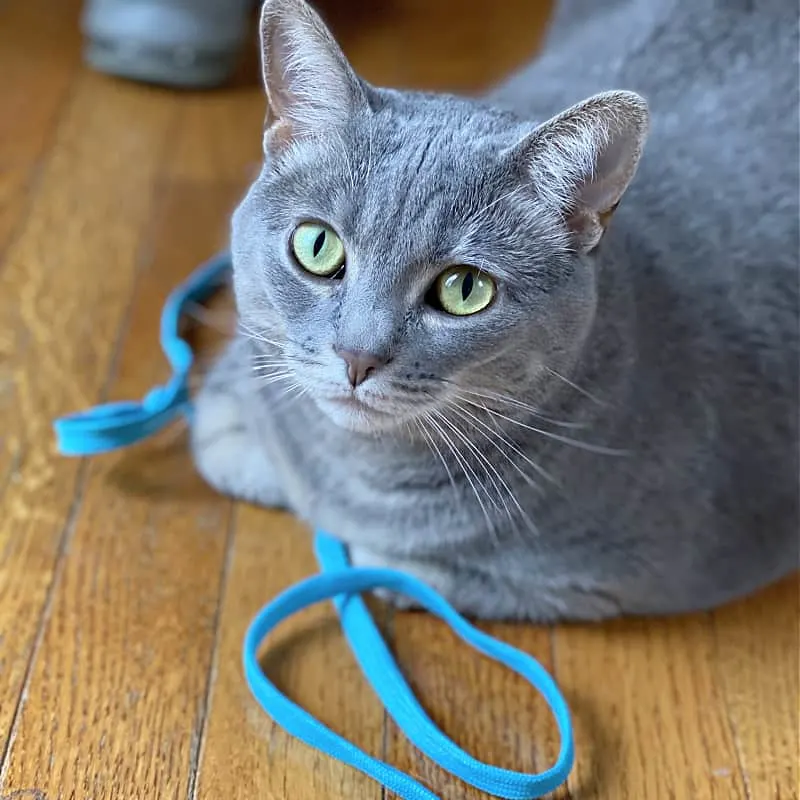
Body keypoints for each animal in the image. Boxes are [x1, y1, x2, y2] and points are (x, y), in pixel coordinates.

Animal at [191, 0, 796, 620]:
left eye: (464, 289)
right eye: (318, 246)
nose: (357, 356)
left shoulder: (609, 582)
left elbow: (400, 565)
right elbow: (221, 438)